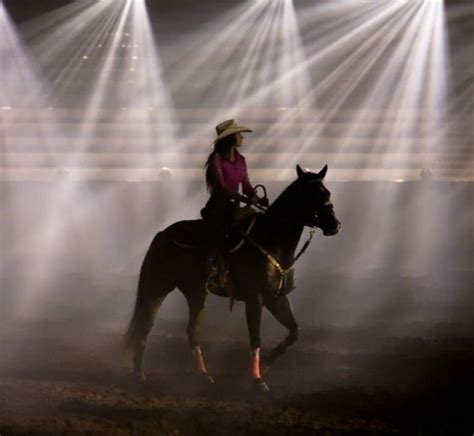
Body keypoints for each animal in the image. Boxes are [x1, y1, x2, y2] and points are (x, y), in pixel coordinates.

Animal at [123, 164, 340, 392]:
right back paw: (138, 374)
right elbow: (255, 338)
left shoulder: (277, 298)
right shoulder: (255, 299)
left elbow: (294, 332)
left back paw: (203, 375)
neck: (271, 239)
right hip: (157, 287)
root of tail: (162, 234)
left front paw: (267, 363)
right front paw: (257, 380)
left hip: (196, 293)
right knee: (145, 325)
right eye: (311, 194)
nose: (335, 225)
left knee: (191, 330)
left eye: (327, 192)